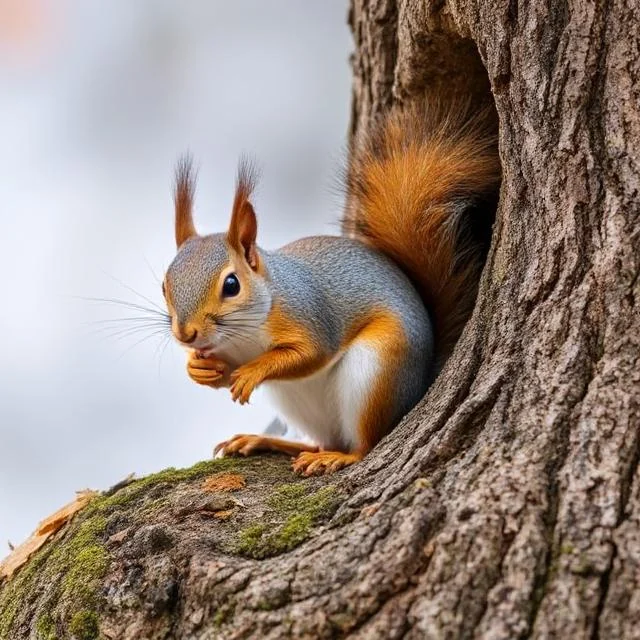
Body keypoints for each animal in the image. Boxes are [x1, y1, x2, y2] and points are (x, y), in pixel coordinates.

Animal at [162, 97, 501, 476]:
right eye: (164, 285)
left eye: (232, 284)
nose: (186, 335)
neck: (243, 334)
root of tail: (420, 383)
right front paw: (199, 368)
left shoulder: (309, 314)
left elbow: (311, 354)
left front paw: (253, 371)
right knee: (323, 439)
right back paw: (267, 441)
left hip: (375, 372)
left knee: (364, 444)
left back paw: (339, 456)